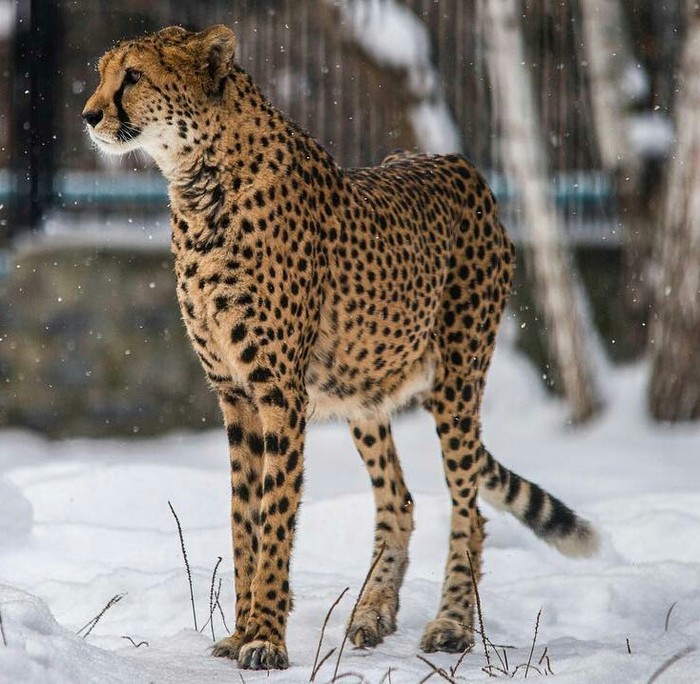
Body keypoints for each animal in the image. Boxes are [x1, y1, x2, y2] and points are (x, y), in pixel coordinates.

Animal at [82, 25, 596, 668]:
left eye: (133, 76)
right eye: (102, 72)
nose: (88, 114)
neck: (200, 185)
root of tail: (458, 163)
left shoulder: (279, 394)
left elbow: (275, 515)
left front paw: (267, 637)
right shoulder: (235, 395)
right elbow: (242, 519)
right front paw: (242, 631)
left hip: (457, 382)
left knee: (469, 508)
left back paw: (452, 624)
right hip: (362, 390)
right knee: (399, 501)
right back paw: (373, 612)